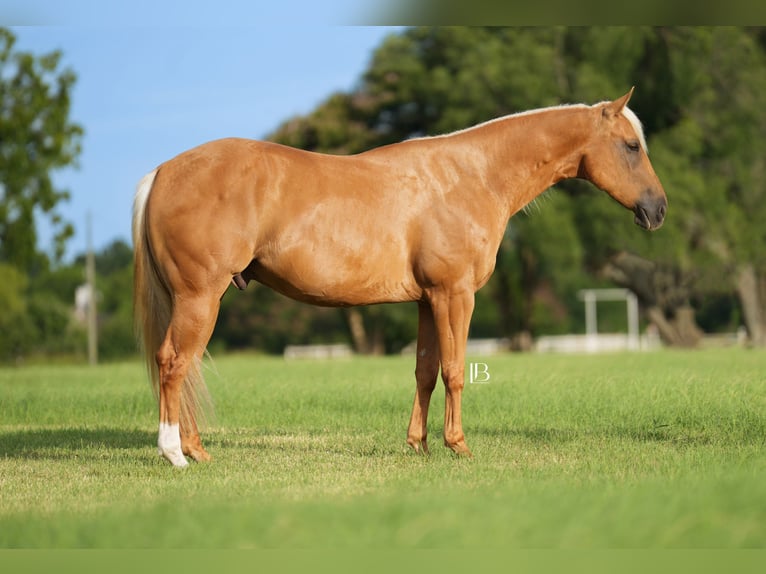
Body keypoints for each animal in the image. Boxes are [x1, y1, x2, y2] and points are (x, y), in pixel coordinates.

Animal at [133, 88, 666, 467]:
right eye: (631, 146)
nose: (657, 210)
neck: (472, 175)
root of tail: (162, 171)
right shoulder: (455, 295)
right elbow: (454, 371)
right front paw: (458, 446)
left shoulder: (427, 300)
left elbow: (425, 371)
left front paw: (419, 445)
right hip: (200, 297)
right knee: (175, 362)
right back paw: (175, 453)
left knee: (186, 367)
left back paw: (196, 449)